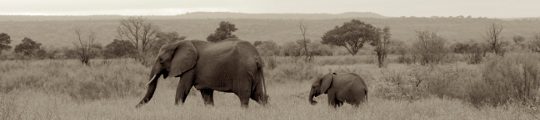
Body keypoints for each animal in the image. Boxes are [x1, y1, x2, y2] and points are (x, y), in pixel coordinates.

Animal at [136, 39, 268, 108]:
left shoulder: (191, 69)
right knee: (259, 95)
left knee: (244, 97)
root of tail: (257, 57)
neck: (177, 43)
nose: (135, 107)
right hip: (253, 72)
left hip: (243, 72)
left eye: (161, 59)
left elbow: (182, 89)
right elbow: (206, 94)